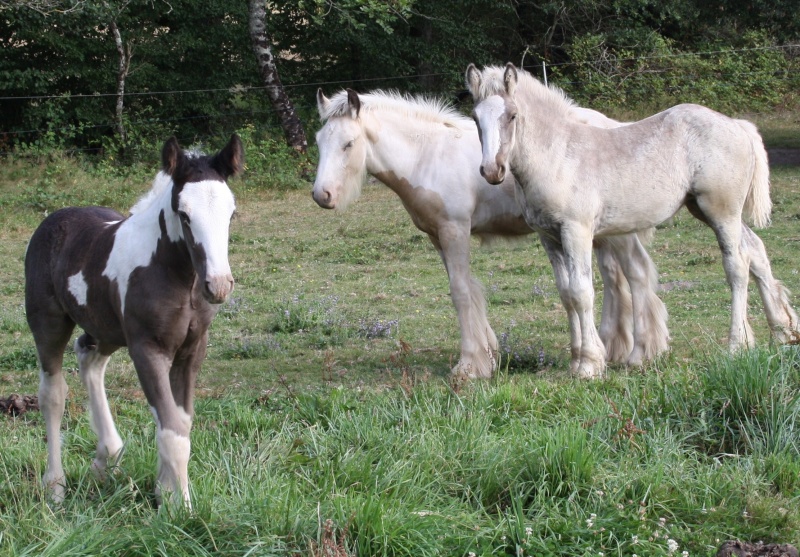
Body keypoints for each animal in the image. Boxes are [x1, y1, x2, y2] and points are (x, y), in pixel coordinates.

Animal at [310, 88, 668, 378]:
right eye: (318, 141)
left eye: (349, 144)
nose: (321, 195)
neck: (428, 157)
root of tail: (613, 126)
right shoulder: (438, 236)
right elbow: (469, 289)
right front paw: (489, 355)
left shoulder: (455, 230)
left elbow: (460, 293)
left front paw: (469, 366)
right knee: (613, 277)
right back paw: (612, 347)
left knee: (636, 273)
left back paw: (644, 351)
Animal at [466, 64, 796, 378]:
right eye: (475, 118)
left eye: (512, 115)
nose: (492, 170)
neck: (559, 155)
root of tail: (738, 125)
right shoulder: (549, 237)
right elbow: (566, 294)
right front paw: (577, 360)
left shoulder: (577, 231)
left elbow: (582, 292)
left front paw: (589, 365)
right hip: (705, 209)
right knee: (755, 251)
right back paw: (783, 332)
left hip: (721, 211)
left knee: (737, 266)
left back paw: (737, 345)